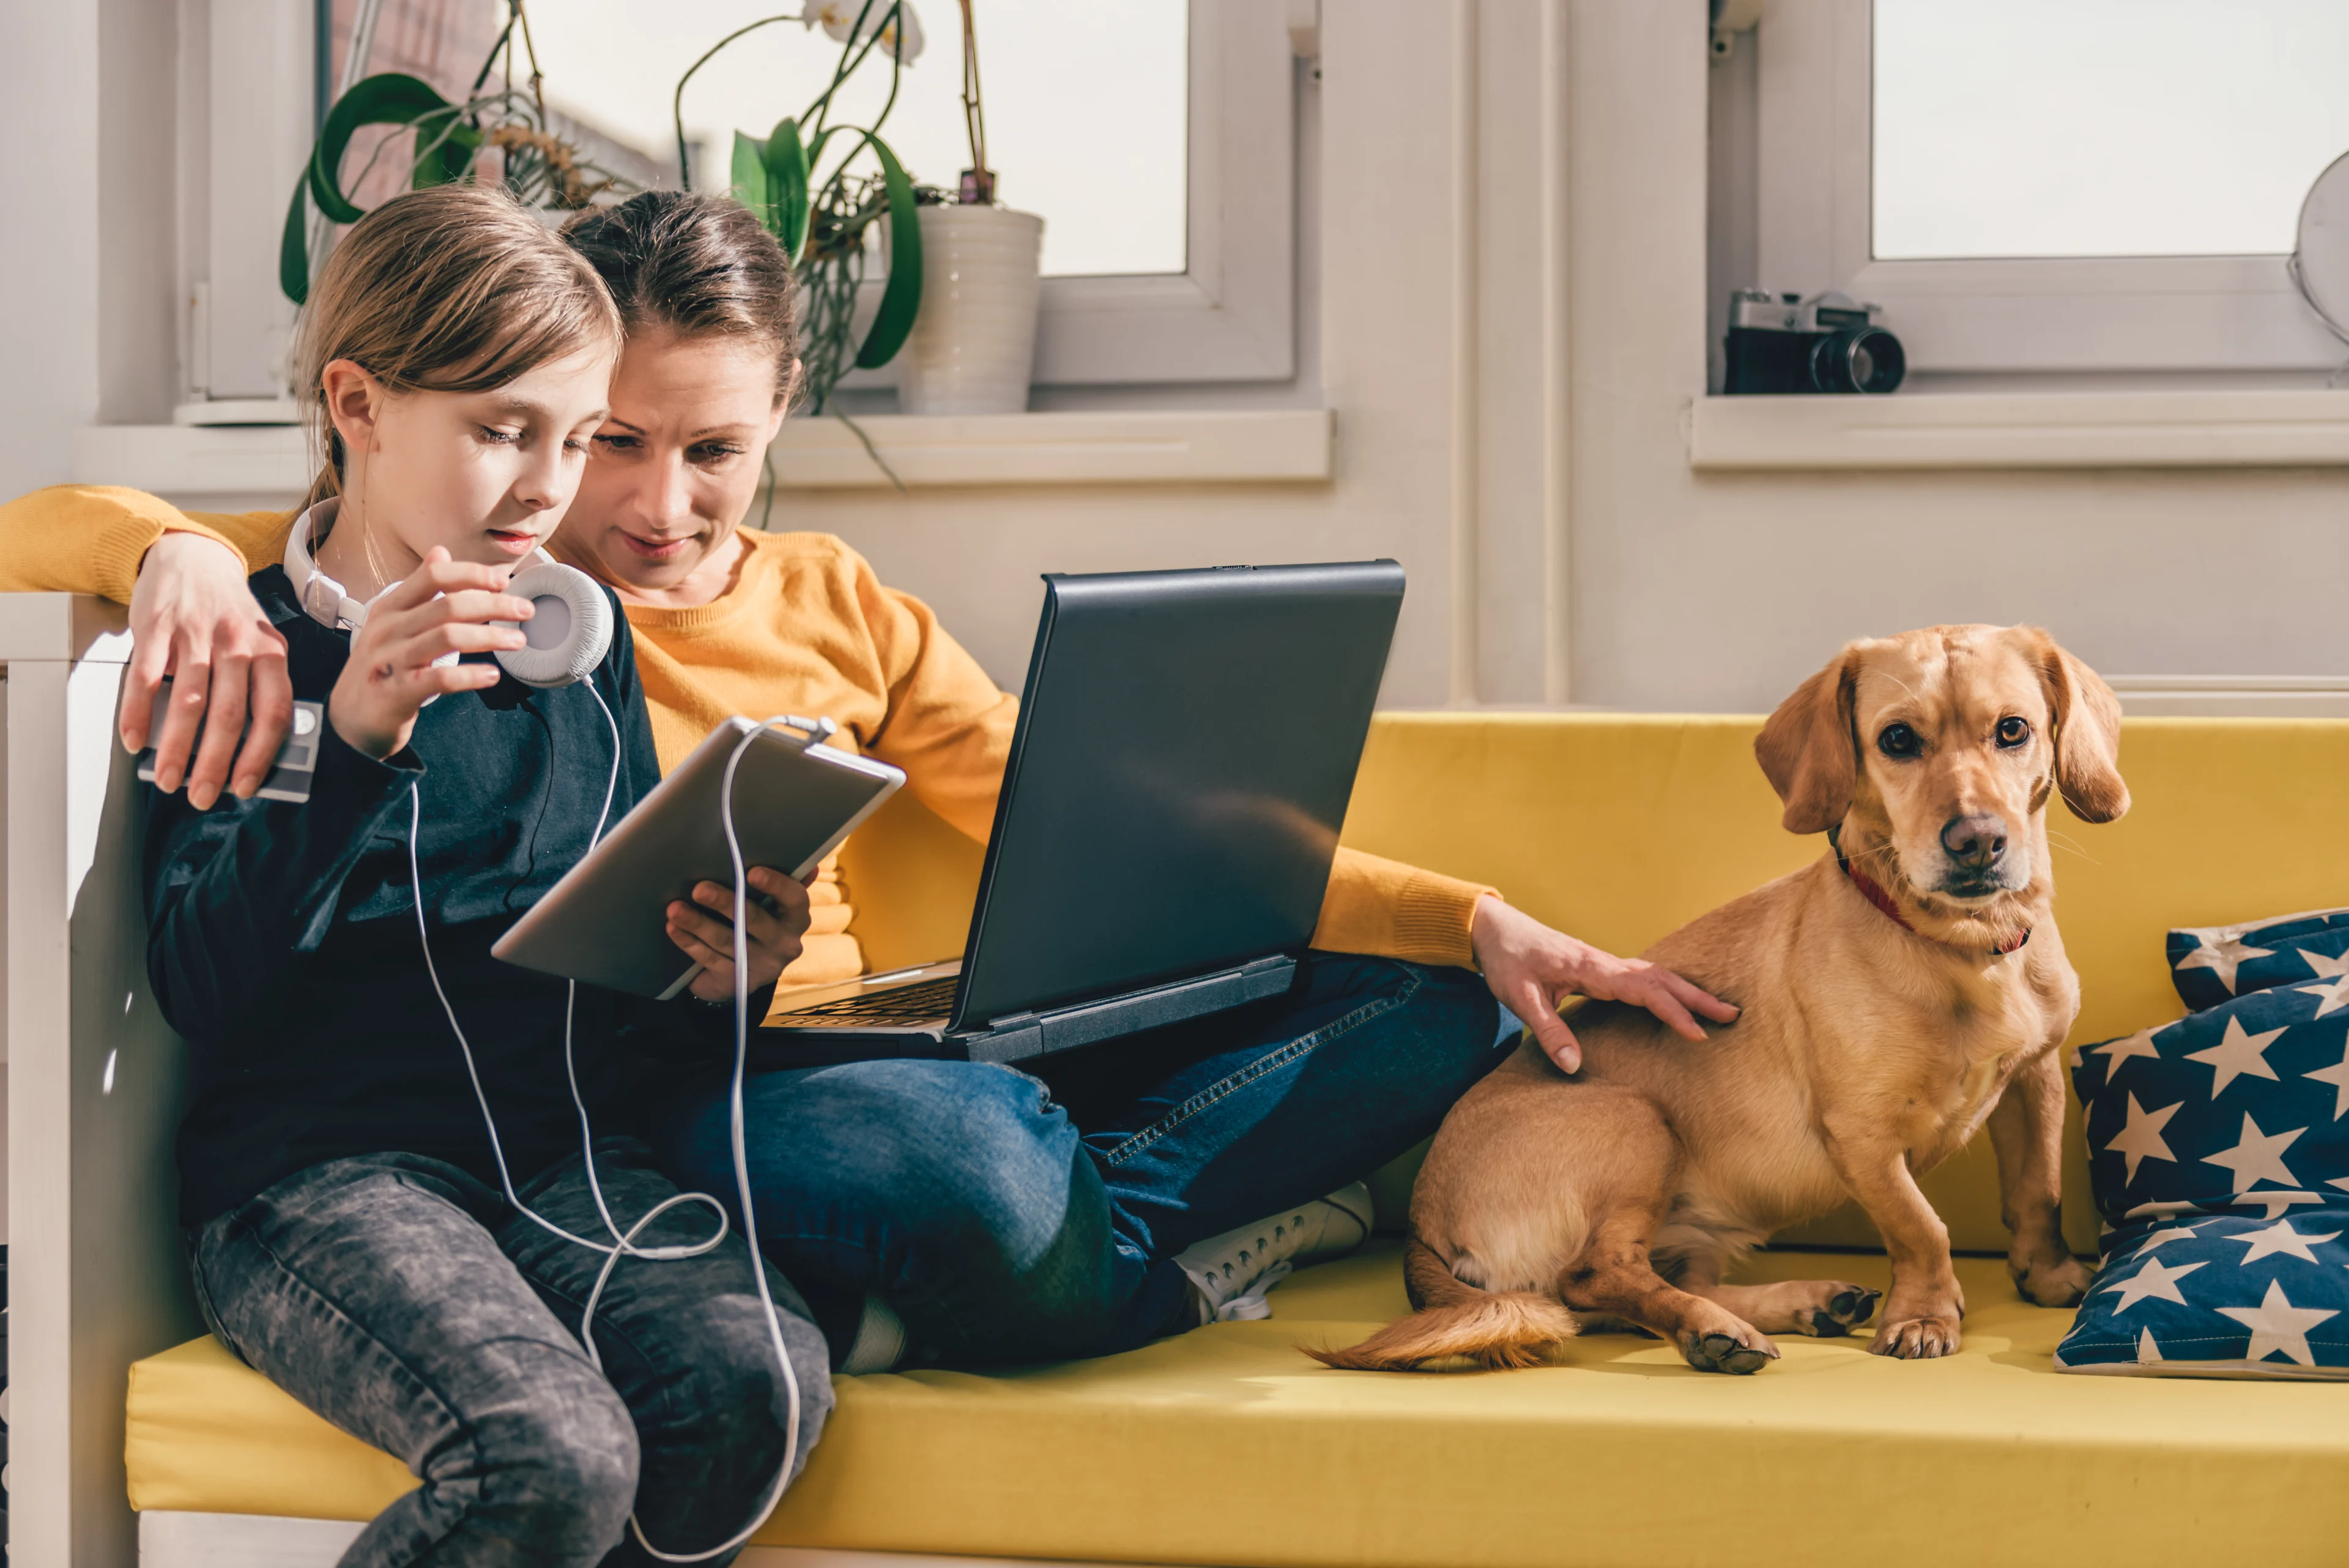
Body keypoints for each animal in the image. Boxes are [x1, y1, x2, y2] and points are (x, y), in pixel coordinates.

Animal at [1324, 625, 2132, 1373]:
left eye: (2013, 729)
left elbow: (2038, 1193)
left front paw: (2048, 1275)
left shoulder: (2033, 1079)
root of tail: (1424, 1226)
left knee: (1641, 1289)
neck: (1964, 947)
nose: (1977, 840)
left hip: (1684, 1223)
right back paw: (1717, 1331)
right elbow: (1922, 1228)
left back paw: (1796, 1304)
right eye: (1898, 739)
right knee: (1594, 1278)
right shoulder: (1863, 1138)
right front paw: (1925, 1316)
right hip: (1638, 1125)